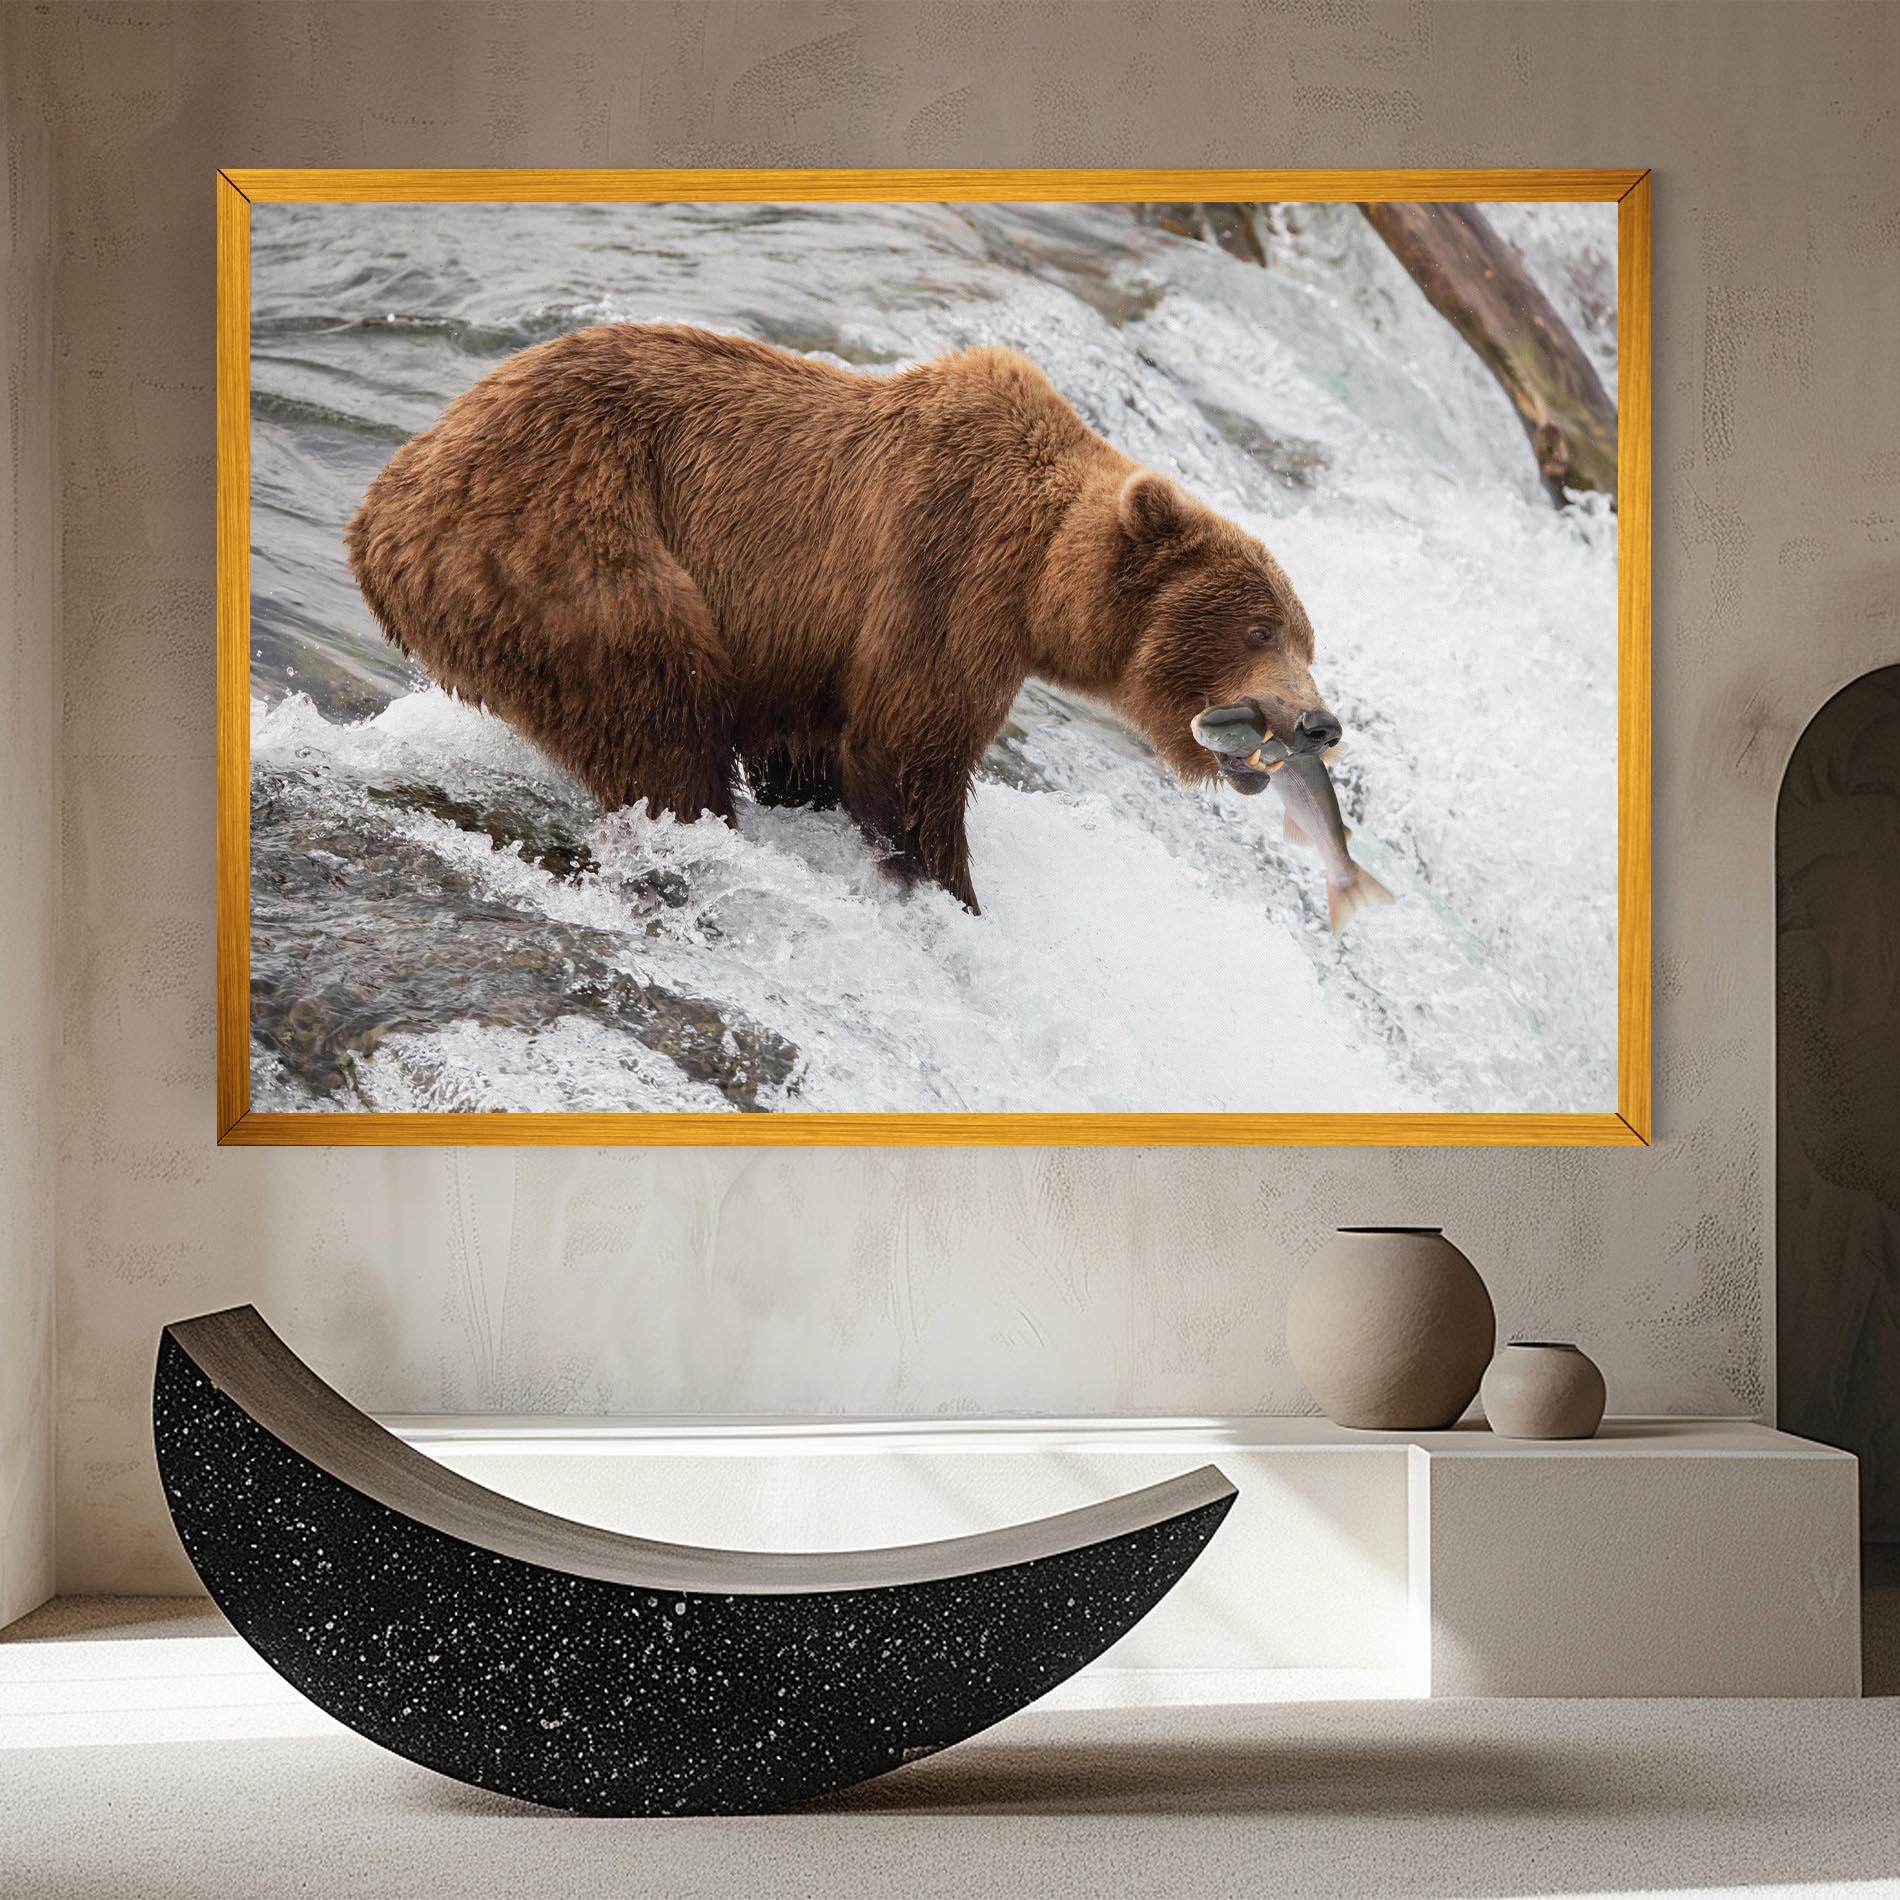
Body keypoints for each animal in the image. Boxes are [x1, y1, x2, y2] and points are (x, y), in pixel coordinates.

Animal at [346, 323, 1340, 913]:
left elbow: (813, 750)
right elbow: (907, 755)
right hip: (568, 546)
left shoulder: (809, 650)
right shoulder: (942, 574)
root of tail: (383, 504)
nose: (1319, 723)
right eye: (1260, 629)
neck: (1039, 581)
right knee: (659, 712)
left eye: (1307, 636)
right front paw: (950, 892)